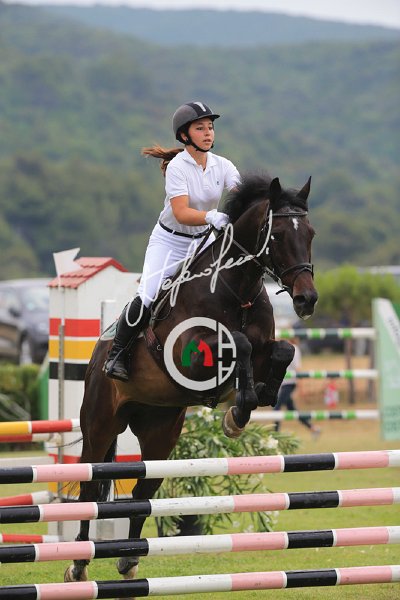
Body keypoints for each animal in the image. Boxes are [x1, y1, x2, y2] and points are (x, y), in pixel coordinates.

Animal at [64, 173, 318, 585]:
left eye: (310, 233)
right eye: (277, 235)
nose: (306, 300)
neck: (237, 291)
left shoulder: (266, 348)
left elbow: (283, 350)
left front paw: (248, 404)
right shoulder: (191, 353)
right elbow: (240, 343)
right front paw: (239, 410)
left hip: (160, 433)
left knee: (143, 491)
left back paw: (129, 560)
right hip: (100, 424)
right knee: (88, 488)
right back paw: (78, 563)